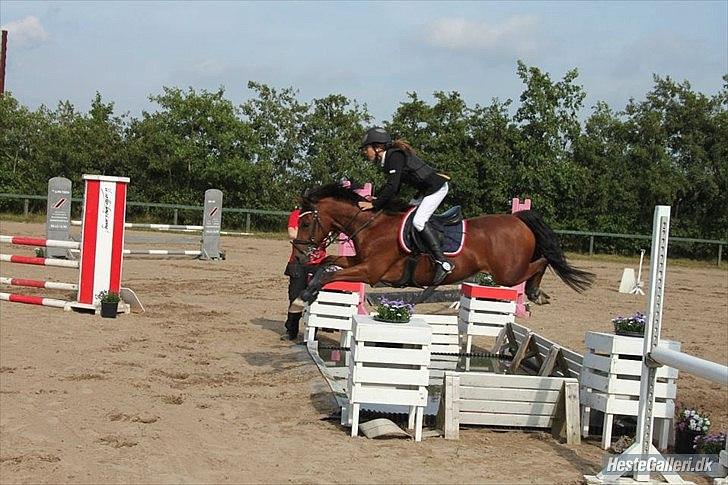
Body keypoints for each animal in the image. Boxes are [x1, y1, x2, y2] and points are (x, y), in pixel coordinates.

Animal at [289, 183, 594, 312]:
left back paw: (535, 293)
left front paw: (303, 297)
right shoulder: (359, 263)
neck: (370, 225)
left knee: (541, 263)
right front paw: (304, 296)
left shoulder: (371, 271)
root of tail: (517, 219)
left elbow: (331, 274)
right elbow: (327, 265)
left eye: (306, 223)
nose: (301, 254)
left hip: (507, 273)